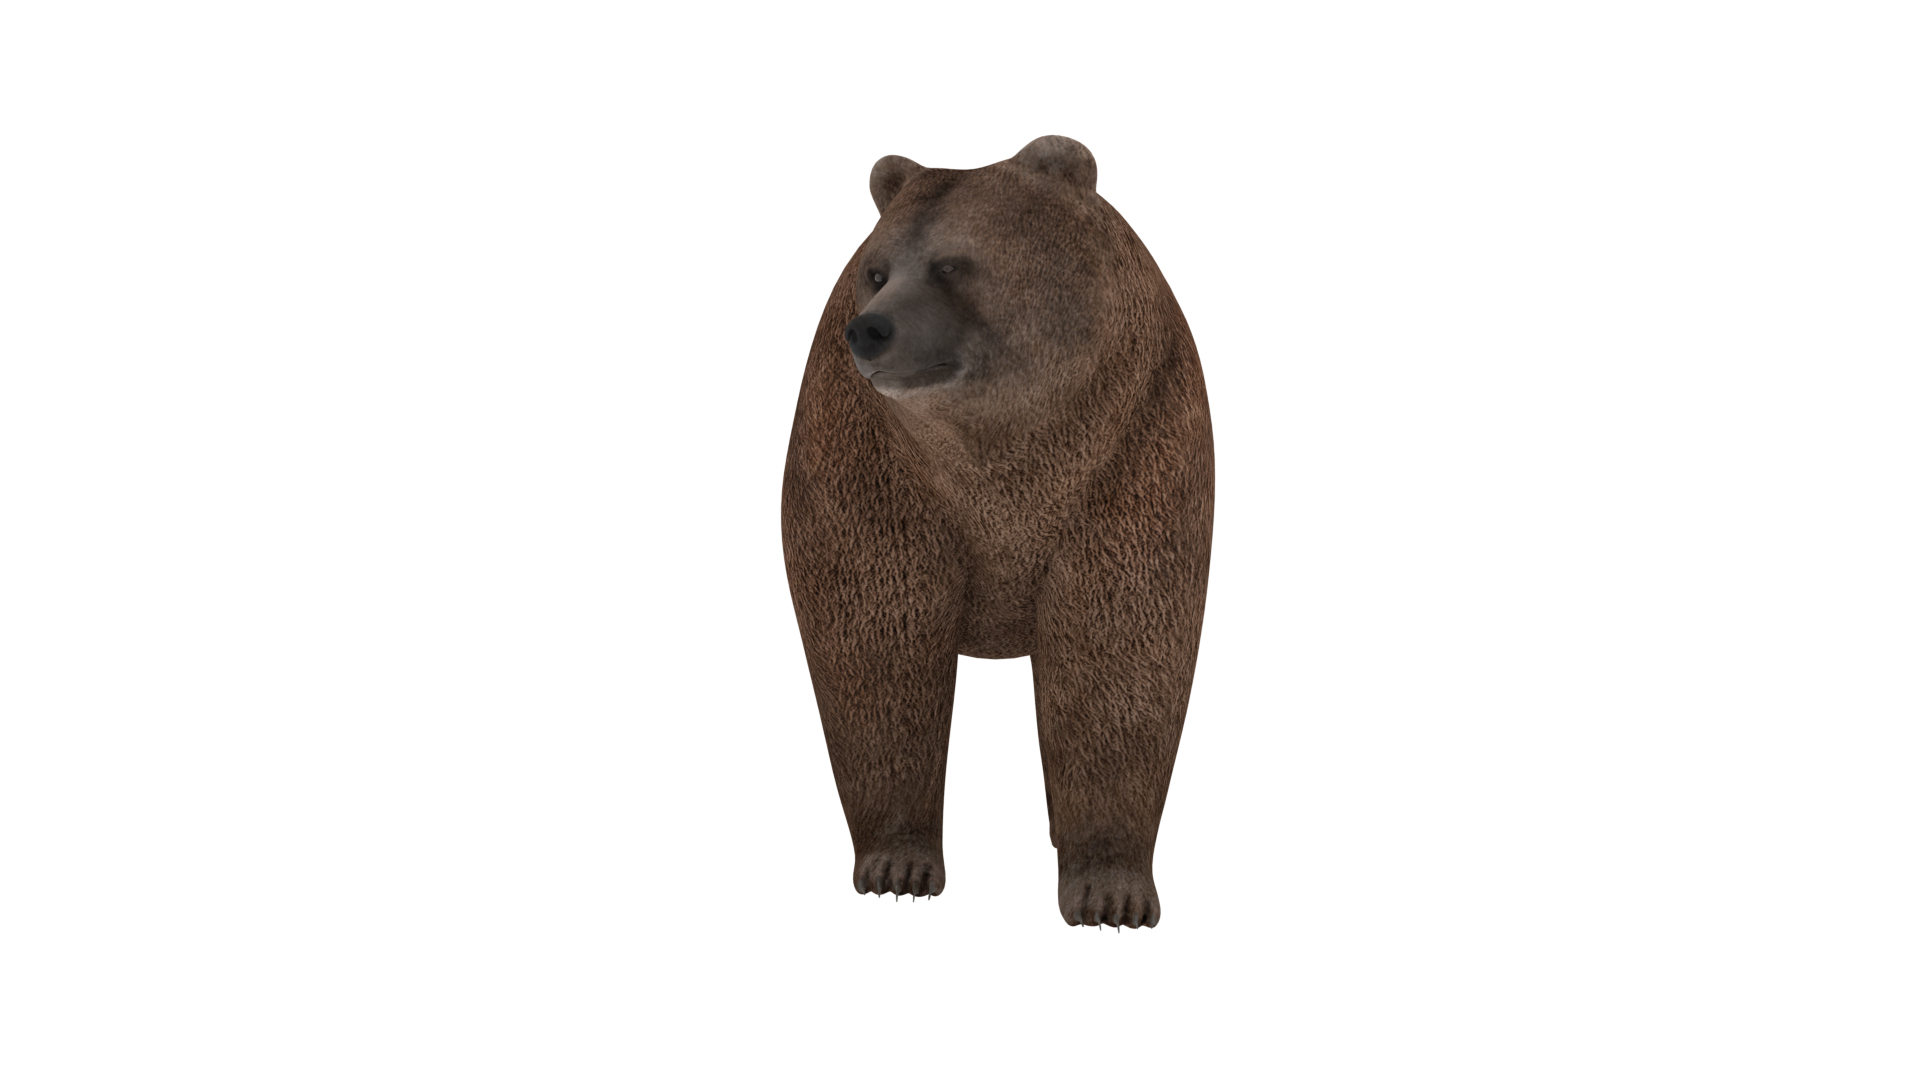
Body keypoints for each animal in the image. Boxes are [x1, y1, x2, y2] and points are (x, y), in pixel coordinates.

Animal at [781, 136, 1213, 928]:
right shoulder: (869, 461)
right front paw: (898, 863)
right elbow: (879, 644)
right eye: (875, 270)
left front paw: (1111, 889)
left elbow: (1120, 651)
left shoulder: (1137, 445)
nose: (871, 329)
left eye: (953, 264)